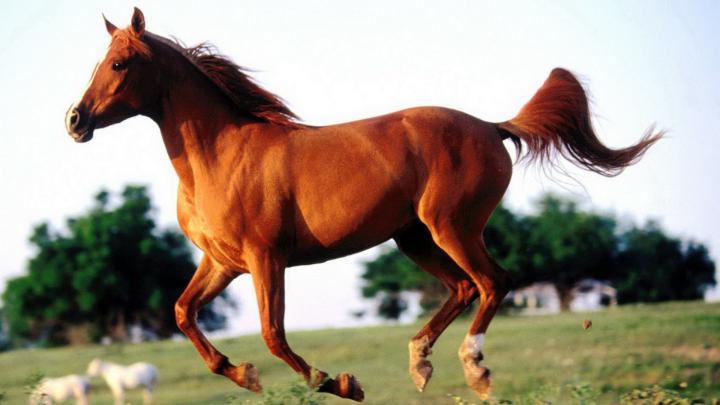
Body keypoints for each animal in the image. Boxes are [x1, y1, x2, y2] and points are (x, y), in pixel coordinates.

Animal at [65, 8, 661, 401]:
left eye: (119, 64)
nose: (75, 120)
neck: (221, 155)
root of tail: (492, 127)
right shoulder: (222, 262)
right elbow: (183, 313)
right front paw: (244, 374)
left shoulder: (265, 259)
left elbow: (273, 334)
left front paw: (339, 382)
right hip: (413, 237)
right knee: (464, 287)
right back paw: (420, 366)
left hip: (452, 227)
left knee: (493, 282)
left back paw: (475, 371)